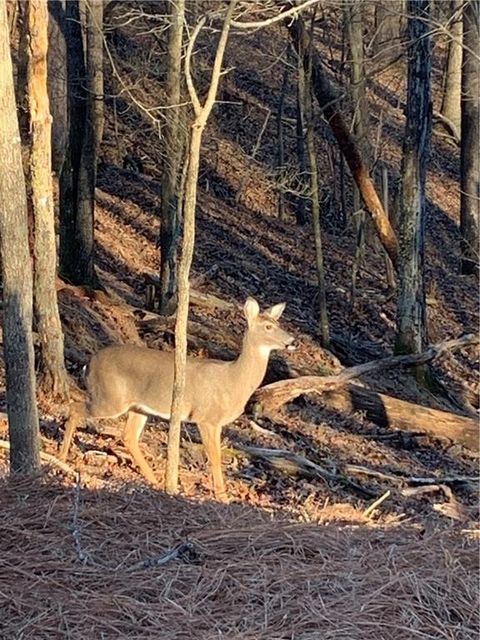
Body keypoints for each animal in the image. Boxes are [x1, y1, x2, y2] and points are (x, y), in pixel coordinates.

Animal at [59, 296, 292, 500]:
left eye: (278, 323)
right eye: (268, 327)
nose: (291, 340)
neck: (234, 380)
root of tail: (89, 363)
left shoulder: (216, 423)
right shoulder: (206, 417)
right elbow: (215, 458)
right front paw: (223, 498)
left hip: (138, 407)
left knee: (128, 436)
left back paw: (154, 480)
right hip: (110, 397)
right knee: (75, 407)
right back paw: (61, 458)